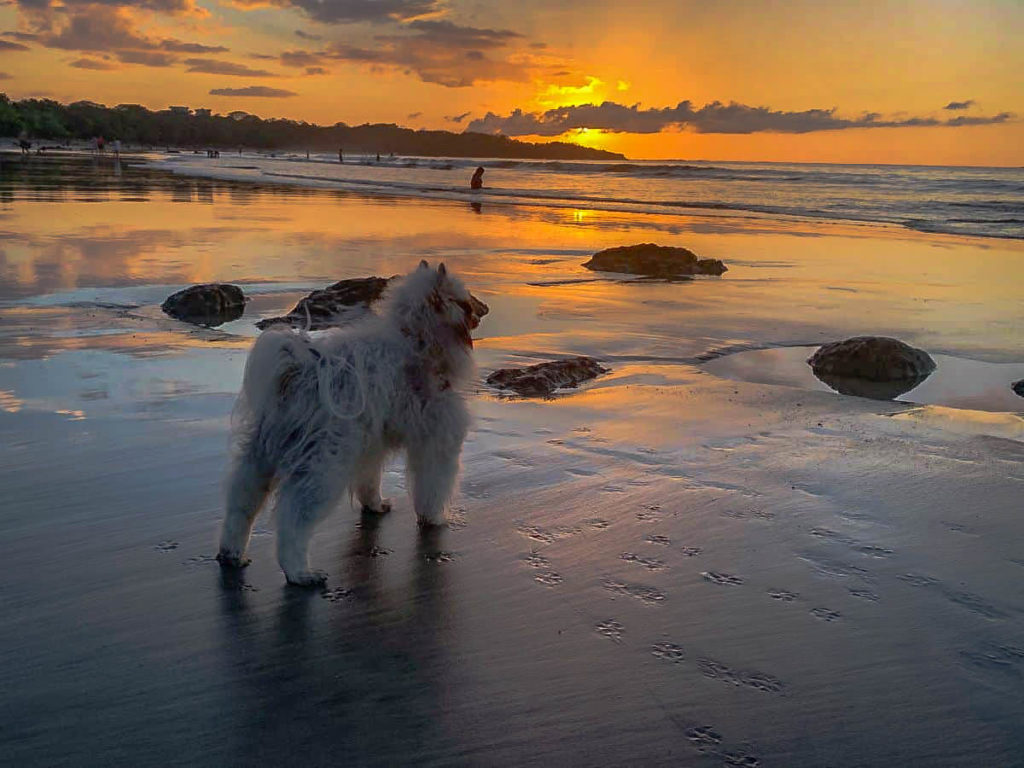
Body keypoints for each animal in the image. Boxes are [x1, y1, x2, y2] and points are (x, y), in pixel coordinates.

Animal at [215, 262, 483, 585]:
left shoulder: (371, 446)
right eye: (467, 300)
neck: (416, 340)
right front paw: (434, 519)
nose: (485, 309)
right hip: (325, 464)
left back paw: (231, 554)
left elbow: (369, 482)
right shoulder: (437, 442)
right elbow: (433, 488)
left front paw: (376, 506)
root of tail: (299, 371)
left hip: (261, 456)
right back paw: (300, 573)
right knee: (294, 518)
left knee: (240, 504)